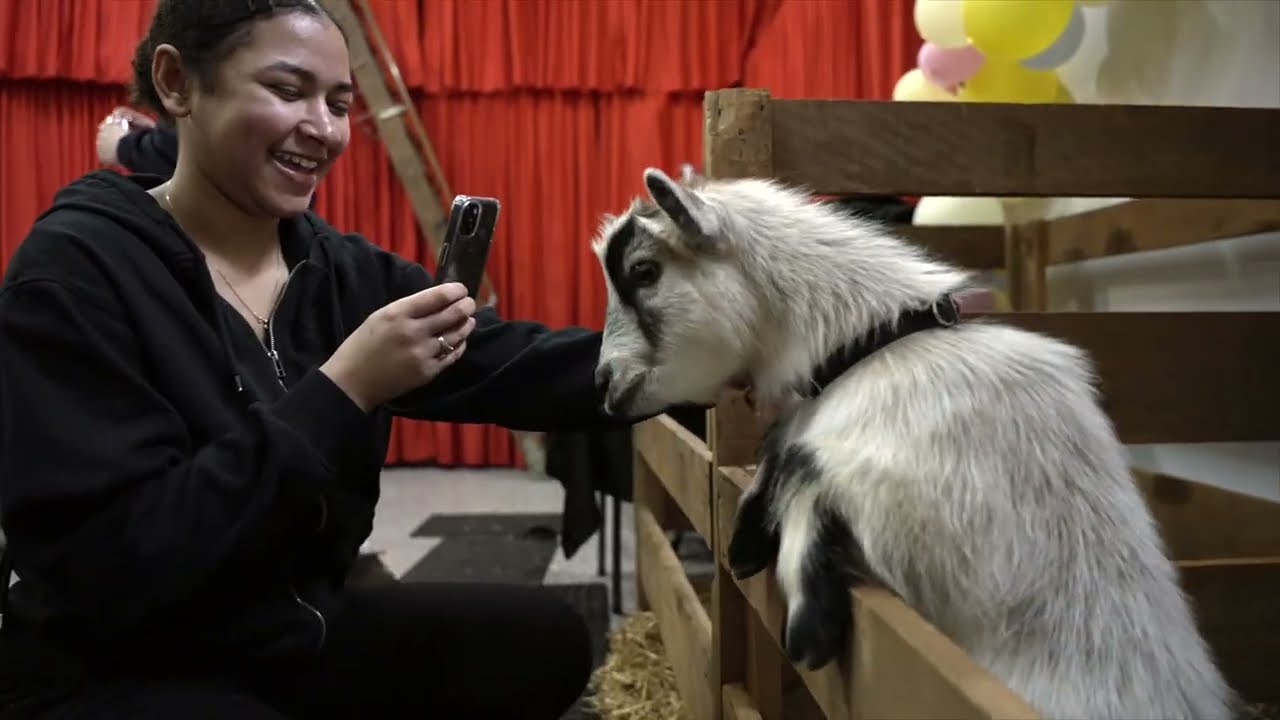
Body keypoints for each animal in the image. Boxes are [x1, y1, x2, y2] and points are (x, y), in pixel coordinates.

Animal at [590, 166, 1238, 720]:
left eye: (645, 271)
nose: (602, 382)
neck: (874, 350)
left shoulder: (940, 521)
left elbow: (810, 472)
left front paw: (801, 613)